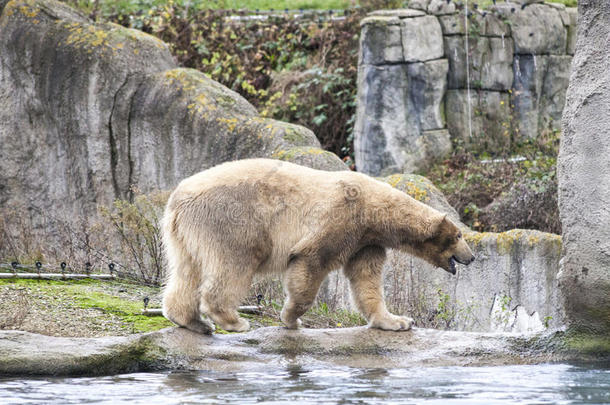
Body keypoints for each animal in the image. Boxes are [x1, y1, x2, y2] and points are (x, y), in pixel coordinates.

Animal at [159, 159, 472, 332]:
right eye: (459, 235)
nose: (471, 257)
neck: (375, 210)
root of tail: (178, 201)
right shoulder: (341, 219)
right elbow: (311, 261)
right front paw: (291, 318)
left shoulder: (366, 241)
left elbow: (366, 279)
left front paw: (397, 321)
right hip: (232, 221)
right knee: (234, 264)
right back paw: (232, 320)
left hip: (183, 234)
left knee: (186, 270)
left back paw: (192, 321)